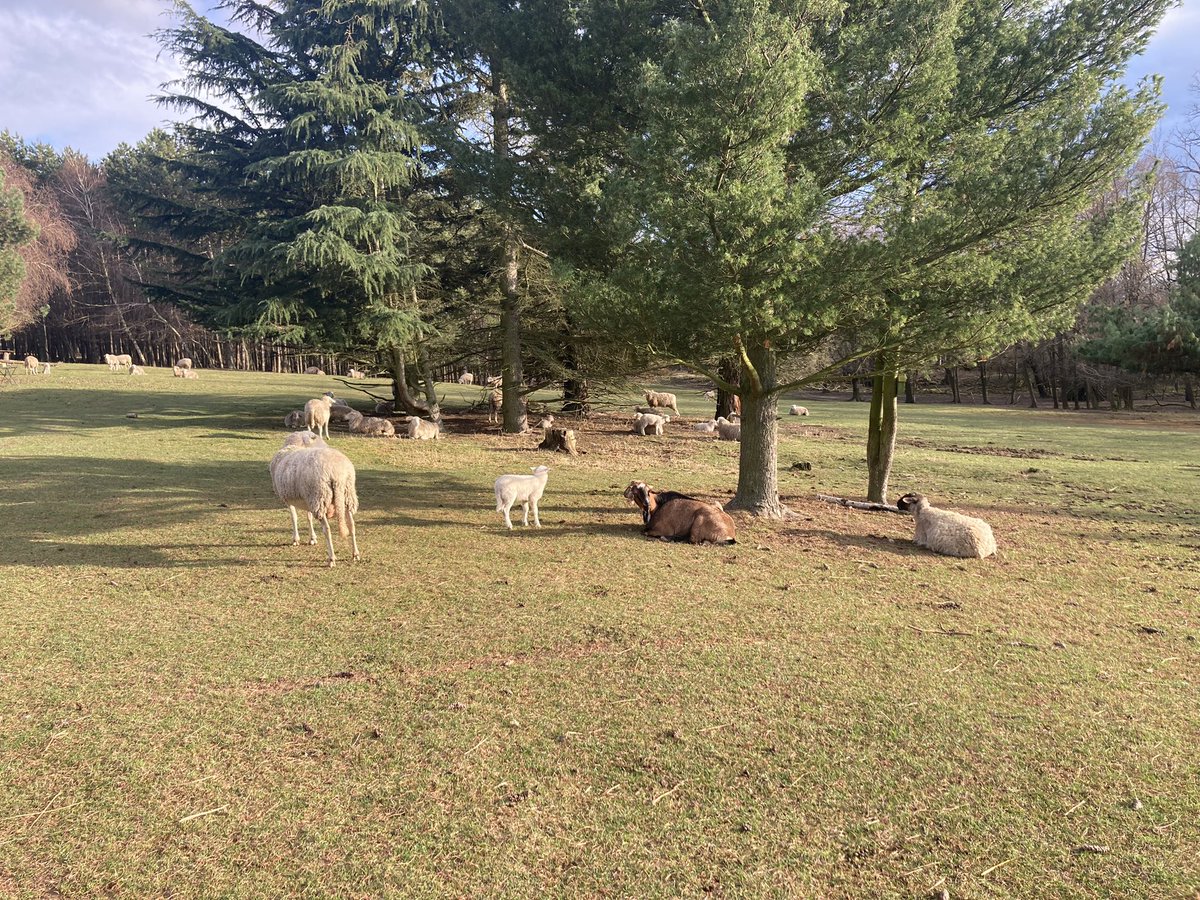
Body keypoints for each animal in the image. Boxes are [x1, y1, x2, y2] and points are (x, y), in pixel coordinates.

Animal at [272, 434, 360, 566]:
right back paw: (355, 554)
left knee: (327, 529)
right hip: (346, 496)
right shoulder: (307, 499)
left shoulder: (289, 499)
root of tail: (337, 473)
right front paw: (312, 538)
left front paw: (296, 539)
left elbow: (294, 518)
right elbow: (308, 517)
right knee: (351, 524)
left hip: (320, 497)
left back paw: (331, 558)